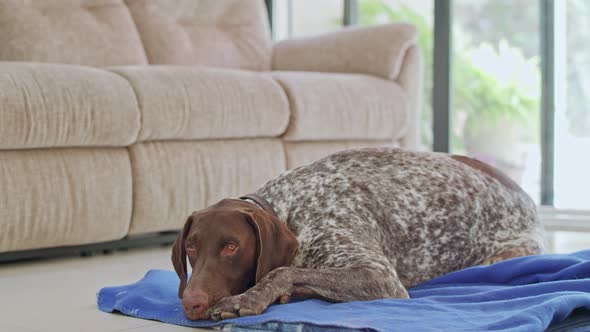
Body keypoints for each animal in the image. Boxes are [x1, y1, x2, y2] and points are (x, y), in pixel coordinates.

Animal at [172, 147, 544, 320]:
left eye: (231, 247)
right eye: (191, 247)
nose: (191, 303)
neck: (289, 209)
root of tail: (525, 195)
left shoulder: (380, 277)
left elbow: (282, 271)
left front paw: (249, 299)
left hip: (504, 256)